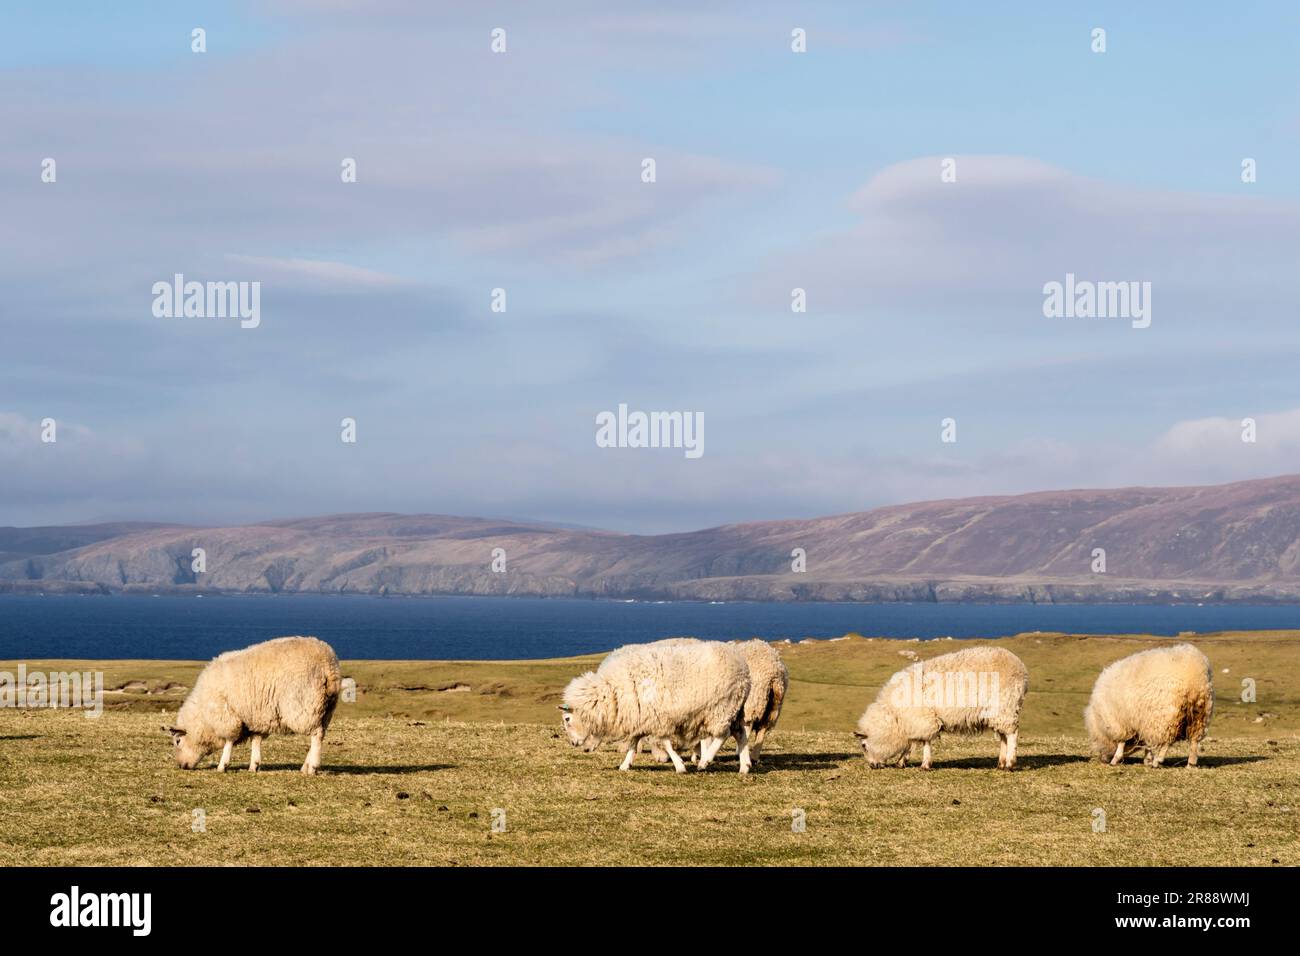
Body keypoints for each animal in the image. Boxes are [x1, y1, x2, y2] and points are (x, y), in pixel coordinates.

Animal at [161, 634, 343, 780]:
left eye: (177, 741)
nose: (181, 766)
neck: (203, 715)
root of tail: (328, 664)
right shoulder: (257, 716)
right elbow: (256, 740)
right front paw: (253, 765)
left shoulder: (228, 716)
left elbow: (229, 741)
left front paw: (222, 765)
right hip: (325, 709)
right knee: (320, 734)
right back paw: (305, 766)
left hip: (304, 705)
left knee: (316, 735)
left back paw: (312, 767)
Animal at [559, 639, 754, 775]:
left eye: (567, 719)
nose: (574, 744)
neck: (612, 691)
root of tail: (743, 668)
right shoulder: (640, 718)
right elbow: (633, 743)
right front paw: (625, 764)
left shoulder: (658, 719)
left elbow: (665, 743)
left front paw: (679, 766)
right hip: (735, 709)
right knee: (740, 734)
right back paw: (744, 766)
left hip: (721, 707)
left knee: (723, 734)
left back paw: (704, 762)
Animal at [650, 639, 790, 764]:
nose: (659, 760)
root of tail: (775, 671)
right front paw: (697, 755)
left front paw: (701, 755)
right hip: (773, 706)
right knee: (762, 729)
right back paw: (754, 757)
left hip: (753, 701)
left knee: (747, 727)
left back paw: (739, 752)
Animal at [857, 642, 1029, 770]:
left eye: (864, 746)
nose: (872, 766)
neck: (894, 716)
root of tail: (1021, 668)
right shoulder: (914, 721)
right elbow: (912, 742)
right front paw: (902, 761)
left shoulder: (923, 719)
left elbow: (923, 742)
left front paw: (924, 764)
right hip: (997, 712)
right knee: (1003, 736)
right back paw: (1001, 763)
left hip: (1005, 706)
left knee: (1012, 734)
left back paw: (1010, 763)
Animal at [1081, 642, 1211, 770]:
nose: (1103, 760)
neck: (1098, 718)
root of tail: (1194, 674)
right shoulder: (1143, 721)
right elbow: (1146, 743)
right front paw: (1147, 759)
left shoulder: (1121, 723)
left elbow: (1122, 742)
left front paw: (1116, 759)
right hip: (1199, 714)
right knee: (1194, 741)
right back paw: (1190, 764)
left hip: (1166, 716)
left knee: (1166, 742)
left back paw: (1158, 761)